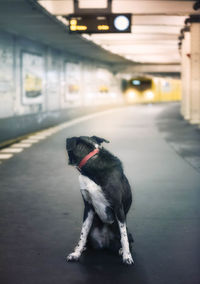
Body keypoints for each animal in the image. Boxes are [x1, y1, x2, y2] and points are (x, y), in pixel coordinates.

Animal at [66, 135, 134, 264]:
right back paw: (81, 248)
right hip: (92, 232)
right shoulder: (88, 207)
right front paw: (76, 253)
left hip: (128, 231)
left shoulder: (118, 207)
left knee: (127, 239)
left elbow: (124, 237)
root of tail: (105, 242)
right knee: (87, 238)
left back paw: (122, 250)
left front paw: (127, 256)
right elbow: (83, 233)